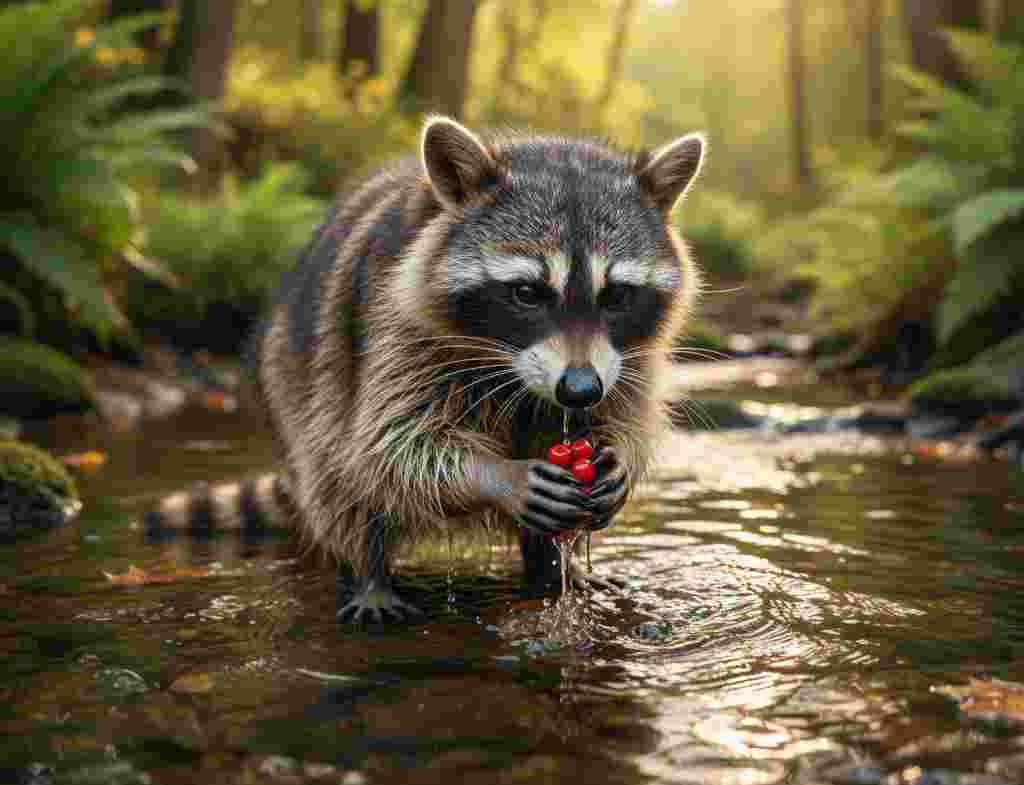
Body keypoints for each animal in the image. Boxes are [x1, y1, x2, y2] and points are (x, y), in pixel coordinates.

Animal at [145, 116, 705, 622]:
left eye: (616, 296)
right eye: (527, 293)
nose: (579, 389)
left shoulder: (628, 360)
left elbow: (627, 414)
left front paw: (620, 459)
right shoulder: (394, 328)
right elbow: (393, 443)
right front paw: (496, 474)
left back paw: (551, 567)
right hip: (295, 377)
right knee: (337, 471)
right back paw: (368, 571)